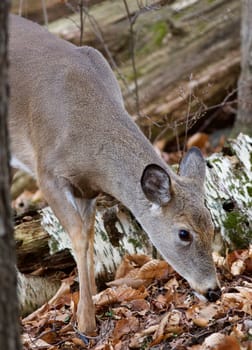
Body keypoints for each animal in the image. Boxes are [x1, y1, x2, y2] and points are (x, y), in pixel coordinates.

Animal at [7, 15, 220, 334]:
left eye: (212, 225)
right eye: (183, 233)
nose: (213, 291)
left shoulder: (87, 190)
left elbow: (90, 234)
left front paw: (94, 298)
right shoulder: (47, 172)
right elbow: (78, 237)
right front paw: (85, 323)